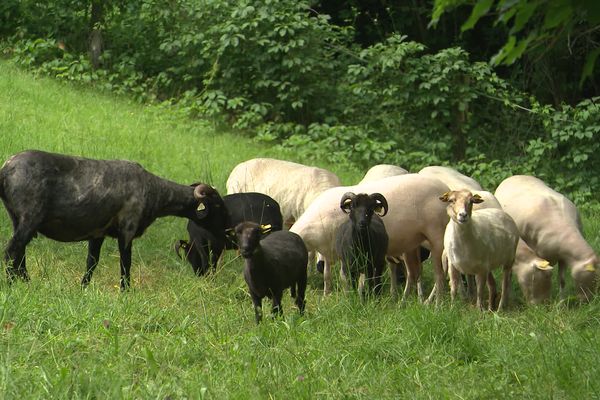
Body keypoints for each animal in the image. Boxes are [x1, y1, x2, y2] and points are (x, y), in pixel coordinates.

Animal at [0, 148, 225, 290]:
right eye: (217, 204)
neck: (157, 192)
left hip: (17, 217)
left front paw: (83, 289)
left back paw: (27, 283)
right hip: (30, 216)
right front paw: (125, 292)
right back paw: (12, 286)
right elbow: (126, 264)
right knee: (11, 251)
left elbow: (92, 262)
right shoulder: (127, 229)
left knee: (19, 253)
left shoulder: (97, 232)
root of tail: (5, 169)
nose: (227, 228)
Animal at [290, 173, 450, 302]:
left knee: (440, 274)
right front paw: (326, 296)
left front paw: (352, 297)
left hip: (437, 237)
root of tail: (445, 188)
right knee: (415, 273)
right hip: (413, 243)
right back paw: (409, 301)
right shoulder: (330, 250)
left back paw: (435, 304)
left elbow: (346, 278)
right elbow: (327, 275)